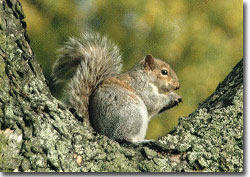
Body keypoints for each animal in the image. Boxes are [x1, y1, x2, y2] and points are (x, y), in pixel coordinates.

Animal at [50, 31, 183, 142]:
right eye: (164, 72)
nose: (177, 86)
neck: (145, 77)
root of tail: (104, 132)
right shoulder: (140, 87)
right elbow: (152, 101)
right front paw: (171, 96)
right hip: (133, 115)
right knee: (123, 137)